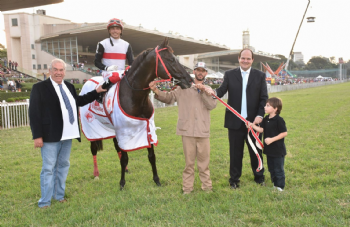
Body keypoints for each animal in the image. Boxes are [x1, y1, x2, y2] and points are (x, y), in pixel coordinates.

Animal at [80, 37, 193, 190]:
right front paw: (122, 184)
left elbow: (151, 156)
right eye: (171, 59)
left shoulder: (146, 126)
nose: (190, 80)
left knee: (117, 147)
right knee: (94, 149)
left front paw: (157, 180)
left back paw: (126, 170)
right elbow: (125, 157)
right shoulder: (123, 129)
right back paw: (96, 174)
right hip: (91, 127)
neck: (134, 95)